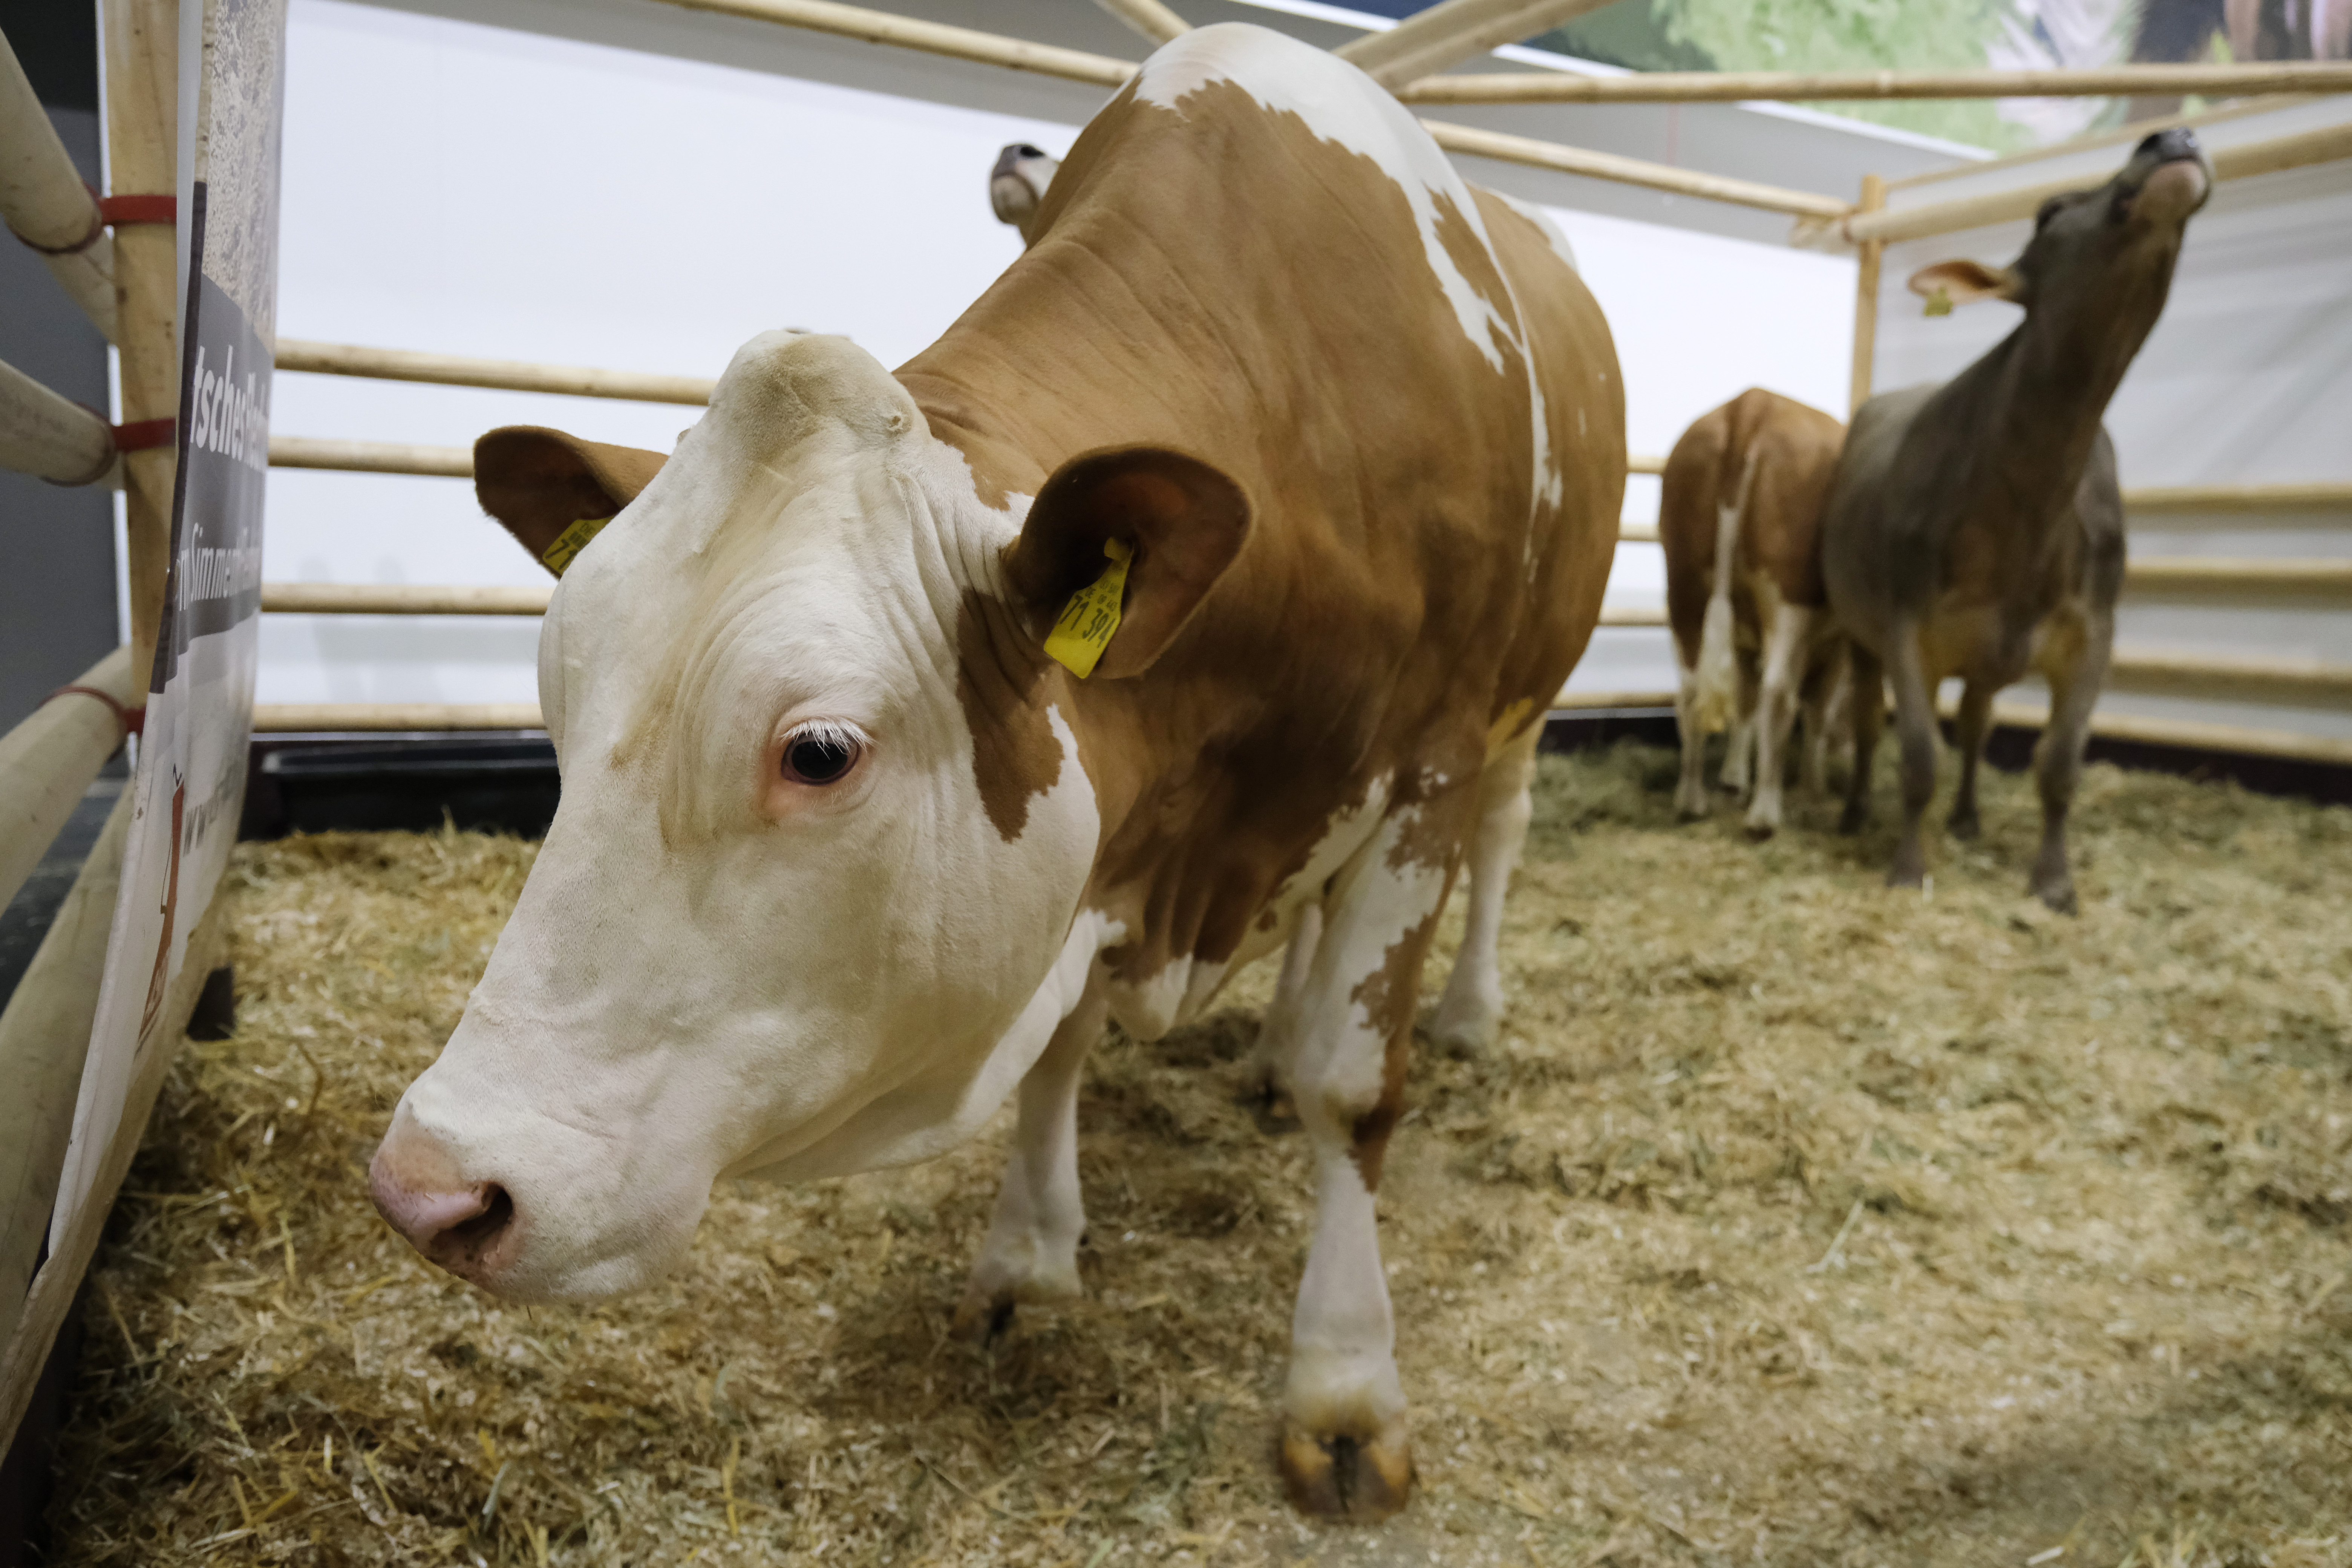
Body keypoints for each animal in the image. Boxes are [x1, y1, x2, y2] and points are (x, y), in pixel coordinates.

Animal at [367, 23, 1625, 1521]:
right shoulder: (1100, 856)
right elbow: (1062, 1046)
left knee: (1498, 844)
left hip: (1516, 723)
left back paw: (1467, 1010)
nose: (434, 1188)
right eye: (555, 701)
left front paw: (1343, 1383)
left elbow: (1353, 1087)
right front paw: (1026, 1254)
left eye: (819, 751)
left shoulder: (1423, 776)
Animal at [1658, 388, 1849, 838]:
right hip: (1789, 596)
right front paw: (1812, 788)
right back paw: (1764, 814)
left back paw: (1691, 799)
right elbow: (1817, 710)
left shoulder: (1744, 638)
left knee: (1690, 691)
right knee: (1778, 694)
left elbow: (1744, 699)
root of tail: (1753, 405)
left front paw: (1733, 778)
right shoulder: (1837, 644)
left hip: (1683, 587)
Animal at [1821, 128, 2209, 912]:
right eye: (2050, 210)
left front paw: (2053, 882)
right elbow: (1916, 754)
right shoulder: (1905, 623)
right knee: (1870, 725)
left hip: (1984, 653)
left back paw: (1969, 817)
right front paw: (1907, 866)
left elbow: (2058, 763)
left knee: (1976, 725)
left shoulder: (2091, 630)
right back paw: (1854, 811)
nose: (2174, 135)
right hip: (1858, 627)